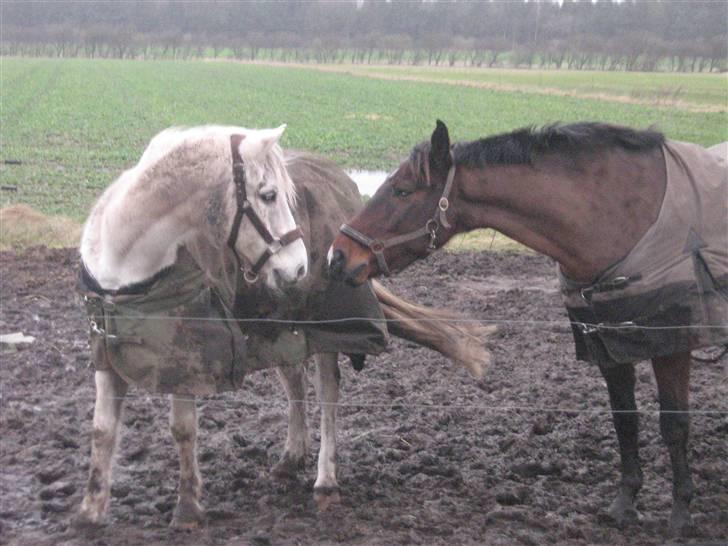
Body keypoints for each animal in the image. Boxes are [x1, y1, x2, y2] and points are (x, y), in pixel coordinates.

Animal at [332, 121, 728, 532]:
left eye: (402, 191)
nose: (338, 255)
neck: (622, 214)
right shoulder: (608, 345)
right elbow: (625, 420)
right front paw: (624, 502)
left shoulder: (671, 344)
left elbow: (674, 425)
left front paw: (681, 513)